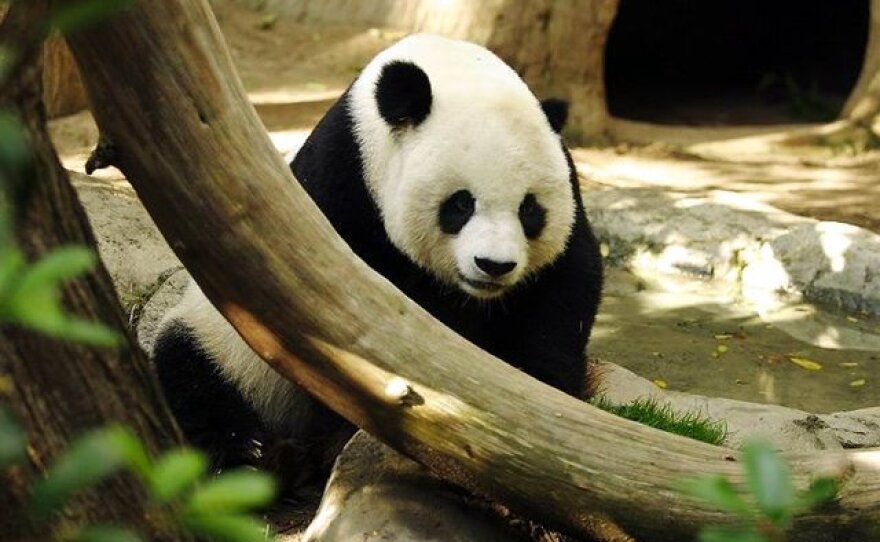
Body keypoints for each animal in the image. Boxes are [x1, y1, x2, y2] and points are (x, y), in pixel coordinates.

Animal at [152, 34, 603, 489]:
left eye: (529, 209)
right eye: (460, 204)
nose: (494, 265)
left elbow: (564, 290)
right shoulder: (342, 192)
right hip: (222, 344)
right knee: (193, 378)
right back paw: (259, 456)